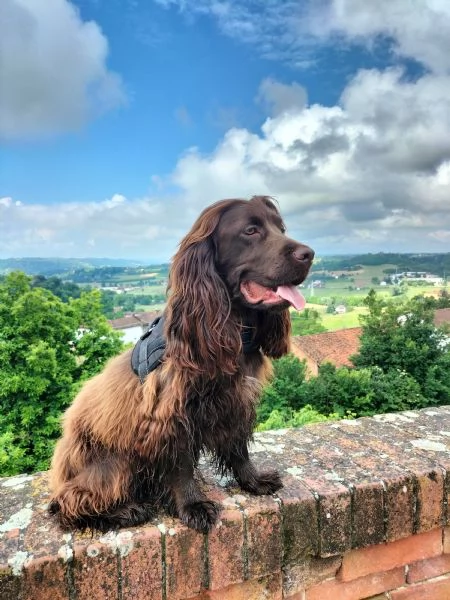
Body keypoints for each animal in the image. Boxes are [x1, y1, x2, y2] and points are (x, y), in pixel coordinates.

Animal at [48, 195, 312, 532]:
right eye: (251, 230)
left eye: (281, 229)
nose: (309, 254)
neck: (231, 328)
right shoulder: (170, 414)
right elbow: (182, 464)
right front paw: (192, 505)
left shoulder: (238, 401)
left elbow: (239, 449)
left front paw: (252, 480)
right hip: (114, 461)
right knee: (68, 504)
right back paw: (125, 511)